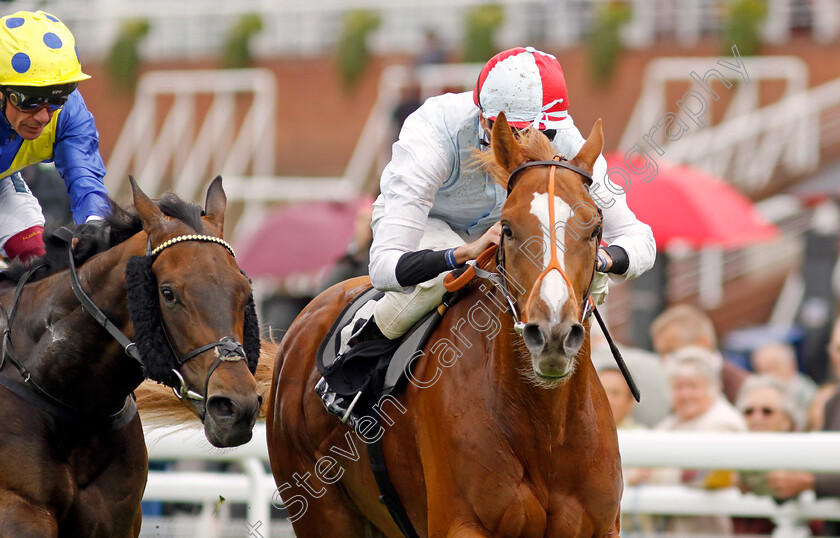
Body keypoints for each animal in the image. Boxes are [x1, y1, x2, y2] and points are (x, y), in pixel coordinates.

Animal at [268, 112, 624, 532]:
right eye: (507, 228)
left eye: (595, 228)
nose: (552, 334)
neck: (547, 427)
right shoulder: (461, 522)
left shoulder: (603, 526)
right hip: (321, 511)